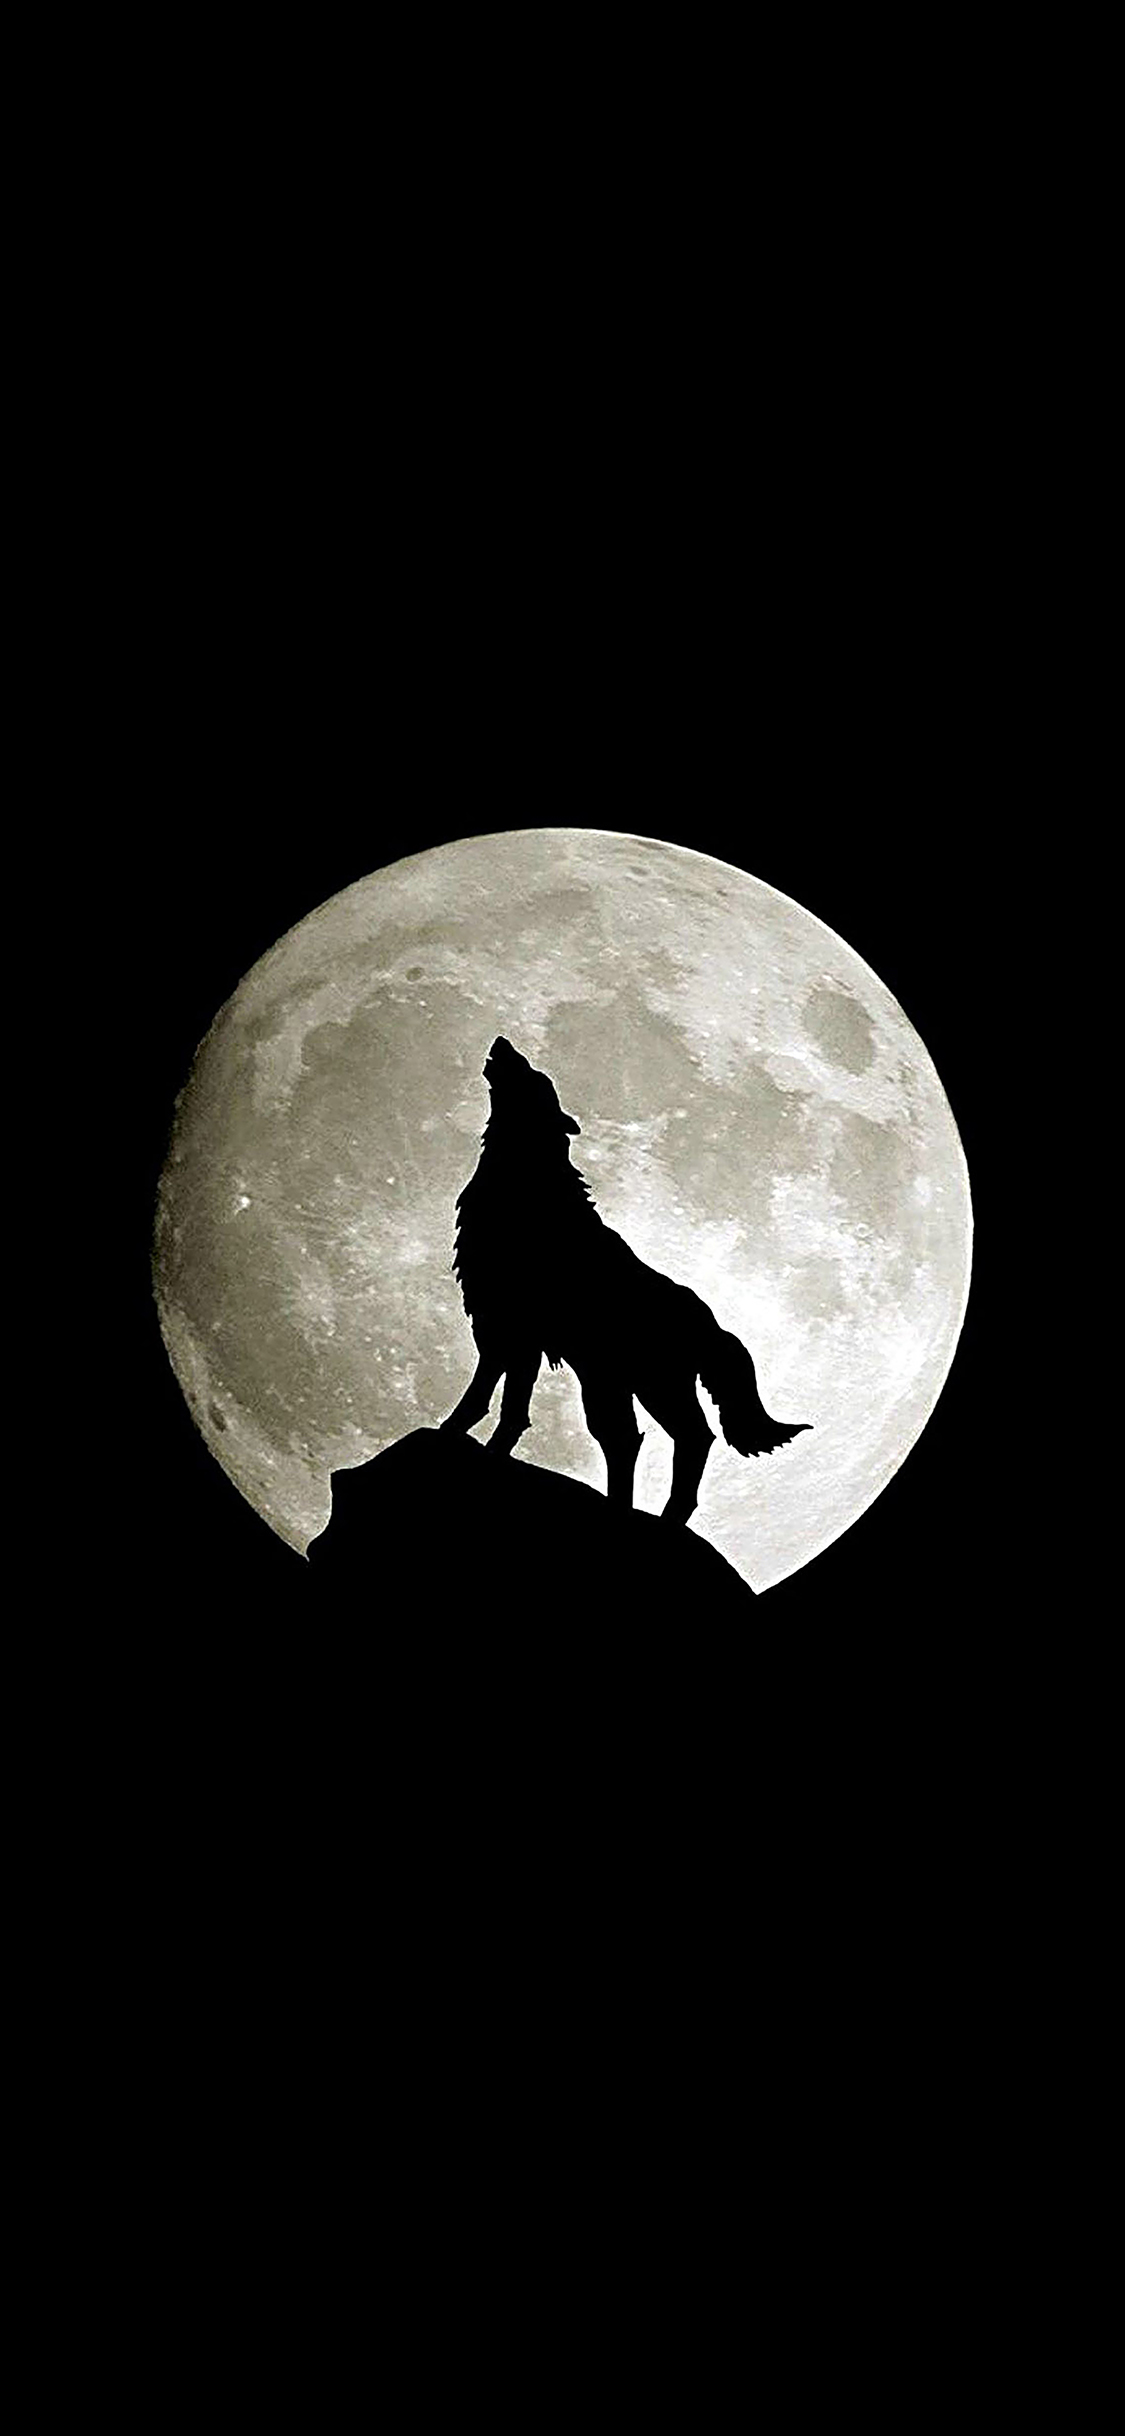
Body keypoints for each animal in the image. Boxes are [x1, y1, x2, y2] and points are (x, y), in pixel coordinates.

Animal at [440, 1038, 810, 1524]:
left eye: (536, 1077)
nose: (504, 1043)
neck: (527, 1183)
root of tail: (711, 1323)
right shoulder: (513, 1334)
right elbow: (507, 1404)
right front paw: (484, 1447)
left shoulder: (508, 1326)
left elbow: (488, 1398)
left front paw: (453, 1434)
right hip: (611, 1382)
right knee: (628, 1439)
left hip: (646, 1385)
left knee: (686, 1437)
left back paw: (662, 1516)